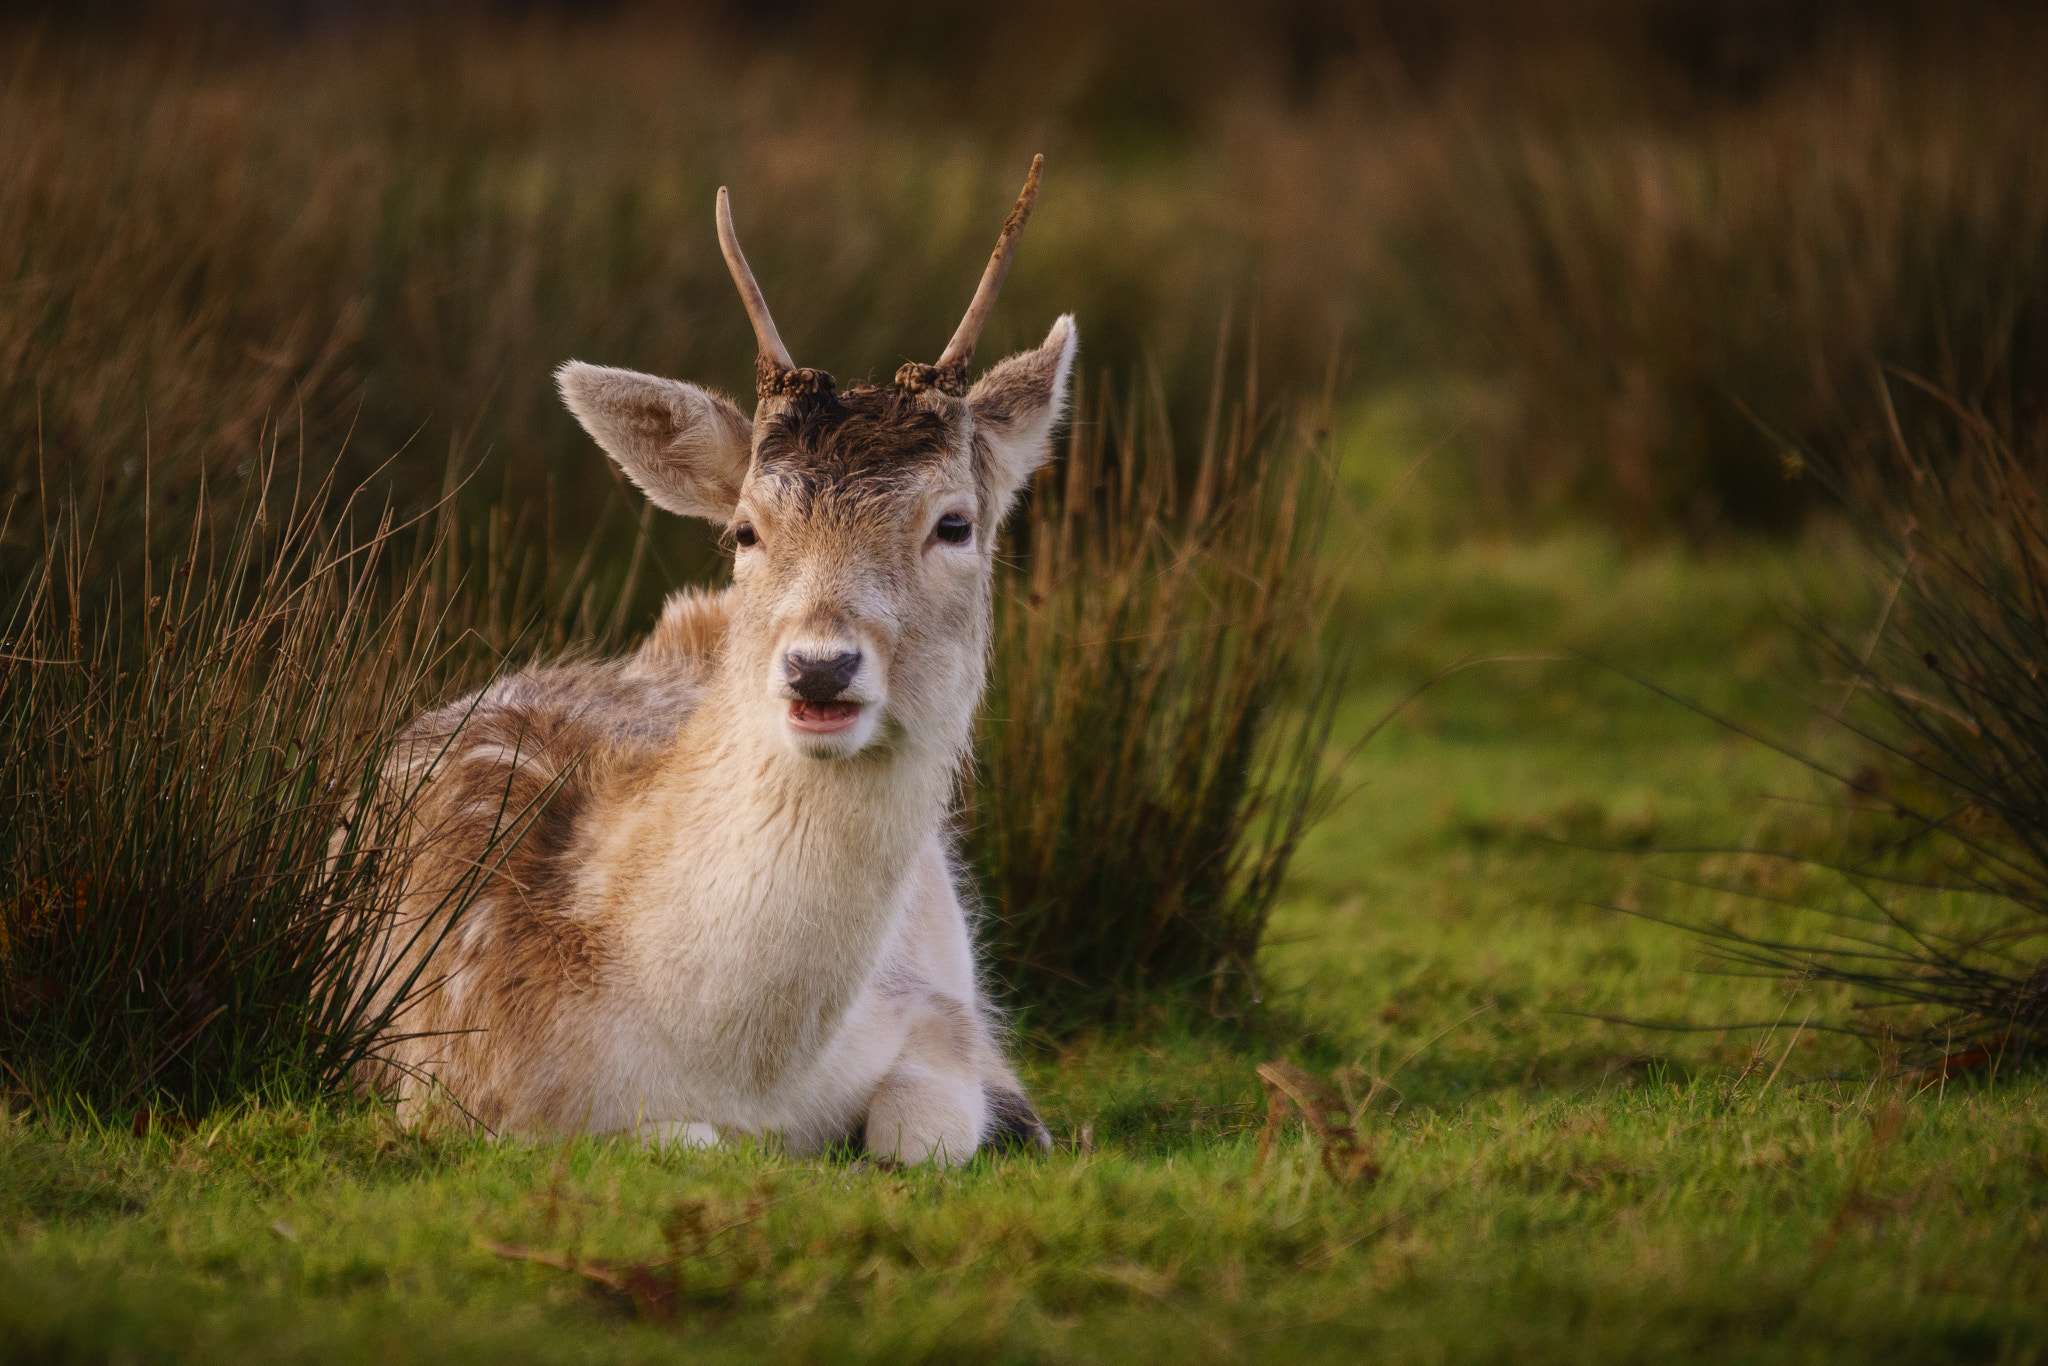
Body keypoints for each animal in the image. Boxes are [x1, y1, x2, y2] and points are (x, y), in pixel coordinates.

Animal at [356, 157, 1073, 1163]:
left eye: (955, 524)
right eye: (746, 529)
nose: (819, 667)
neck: (741, 1068)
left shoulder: (943, 1021)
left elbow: (920, 1134)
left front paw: (1018, 1123)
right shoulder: (451, 1085)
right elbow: (686, 1139)